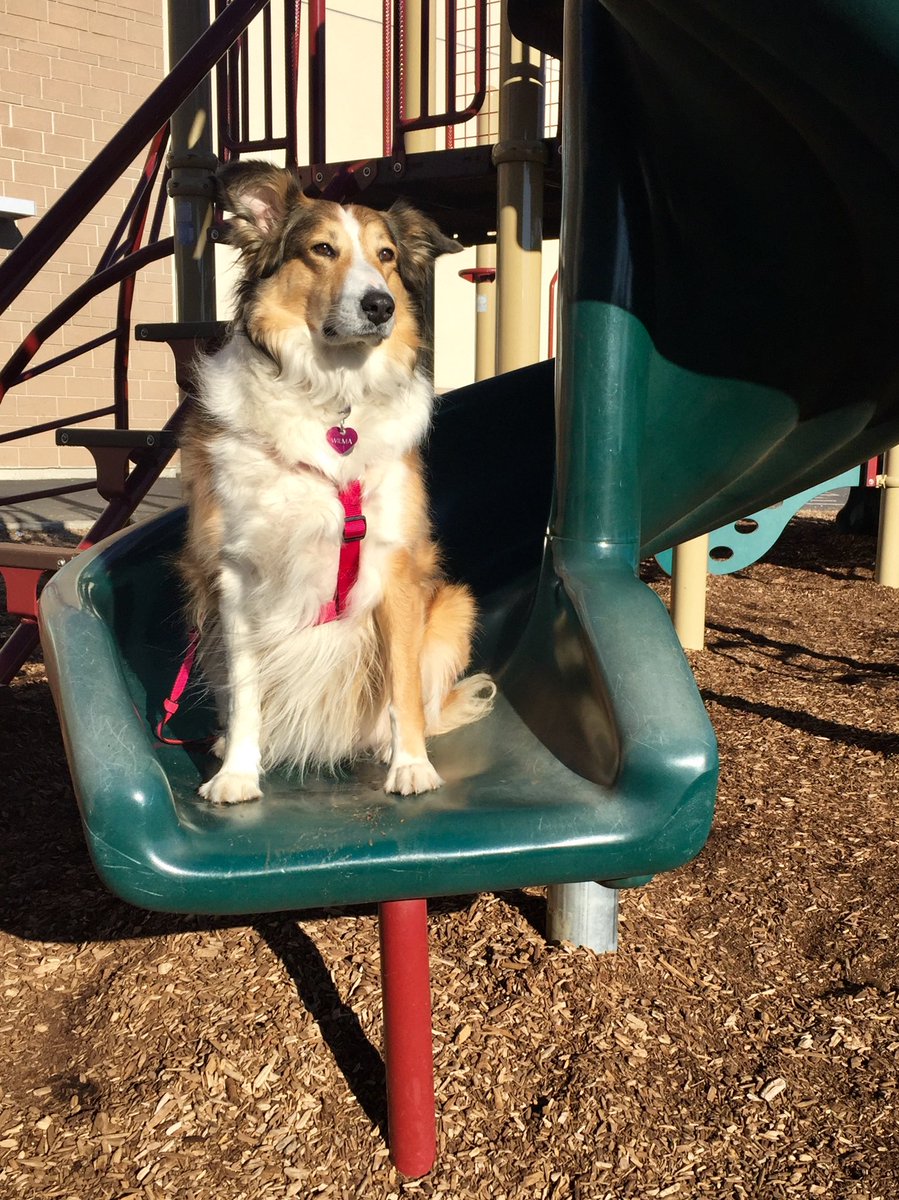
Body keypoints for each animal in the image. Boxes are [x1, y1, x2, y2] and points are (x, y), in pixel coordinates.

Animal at [177, 154, 494, 801]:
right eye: (322, 249)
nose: (380, 305)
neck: (331, 403)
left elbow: (402, 688)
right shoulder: (235, 578)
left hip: (453, 605)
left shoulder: (396, 566)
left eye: (387, 256)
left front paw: (411, 765)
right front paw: (237, 774)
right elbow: (246, 692)